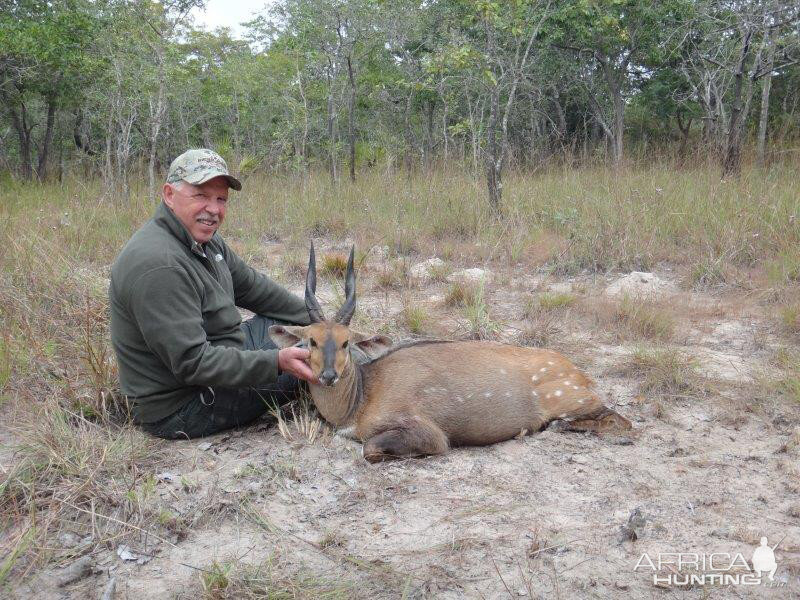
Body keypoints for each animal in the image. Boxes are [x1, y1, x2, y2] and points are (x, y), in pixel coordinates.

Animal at [268, 244, 632, 464]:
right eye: (312, 341)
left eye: (345, 342)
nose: (328, 375)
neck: (359, 401)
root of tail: (580, 374)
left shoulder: (428, 432)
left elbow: (370, 449)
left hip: (573, 401)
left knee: (621, 420)